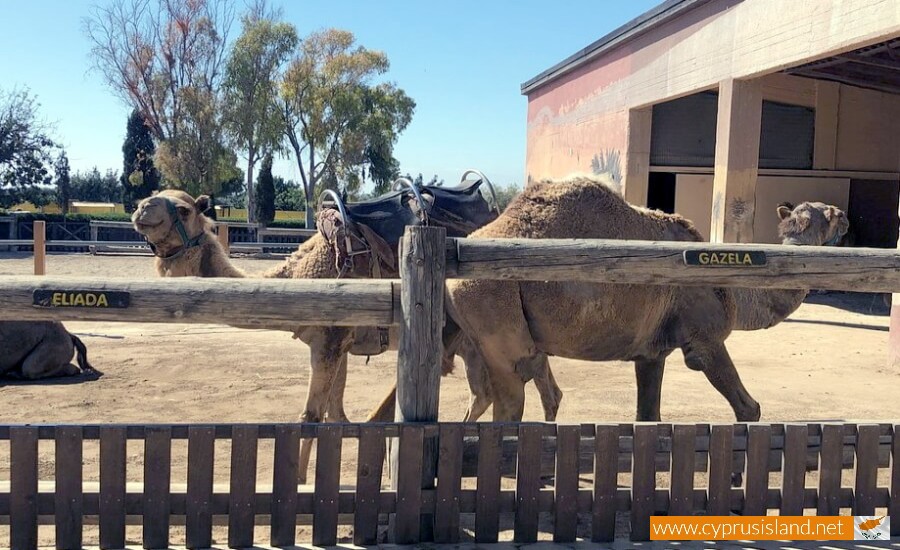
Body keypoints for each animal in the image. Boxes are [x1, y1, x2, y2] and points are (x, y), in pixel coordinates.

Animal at [444, 177, 852, 422]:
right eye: (833, 214)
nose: (849, 218)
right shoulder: (704, 340)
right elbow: (749, 408)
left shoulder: (652, 352)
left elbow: (648, 416)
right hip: (491, 307)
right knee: (511, 395)